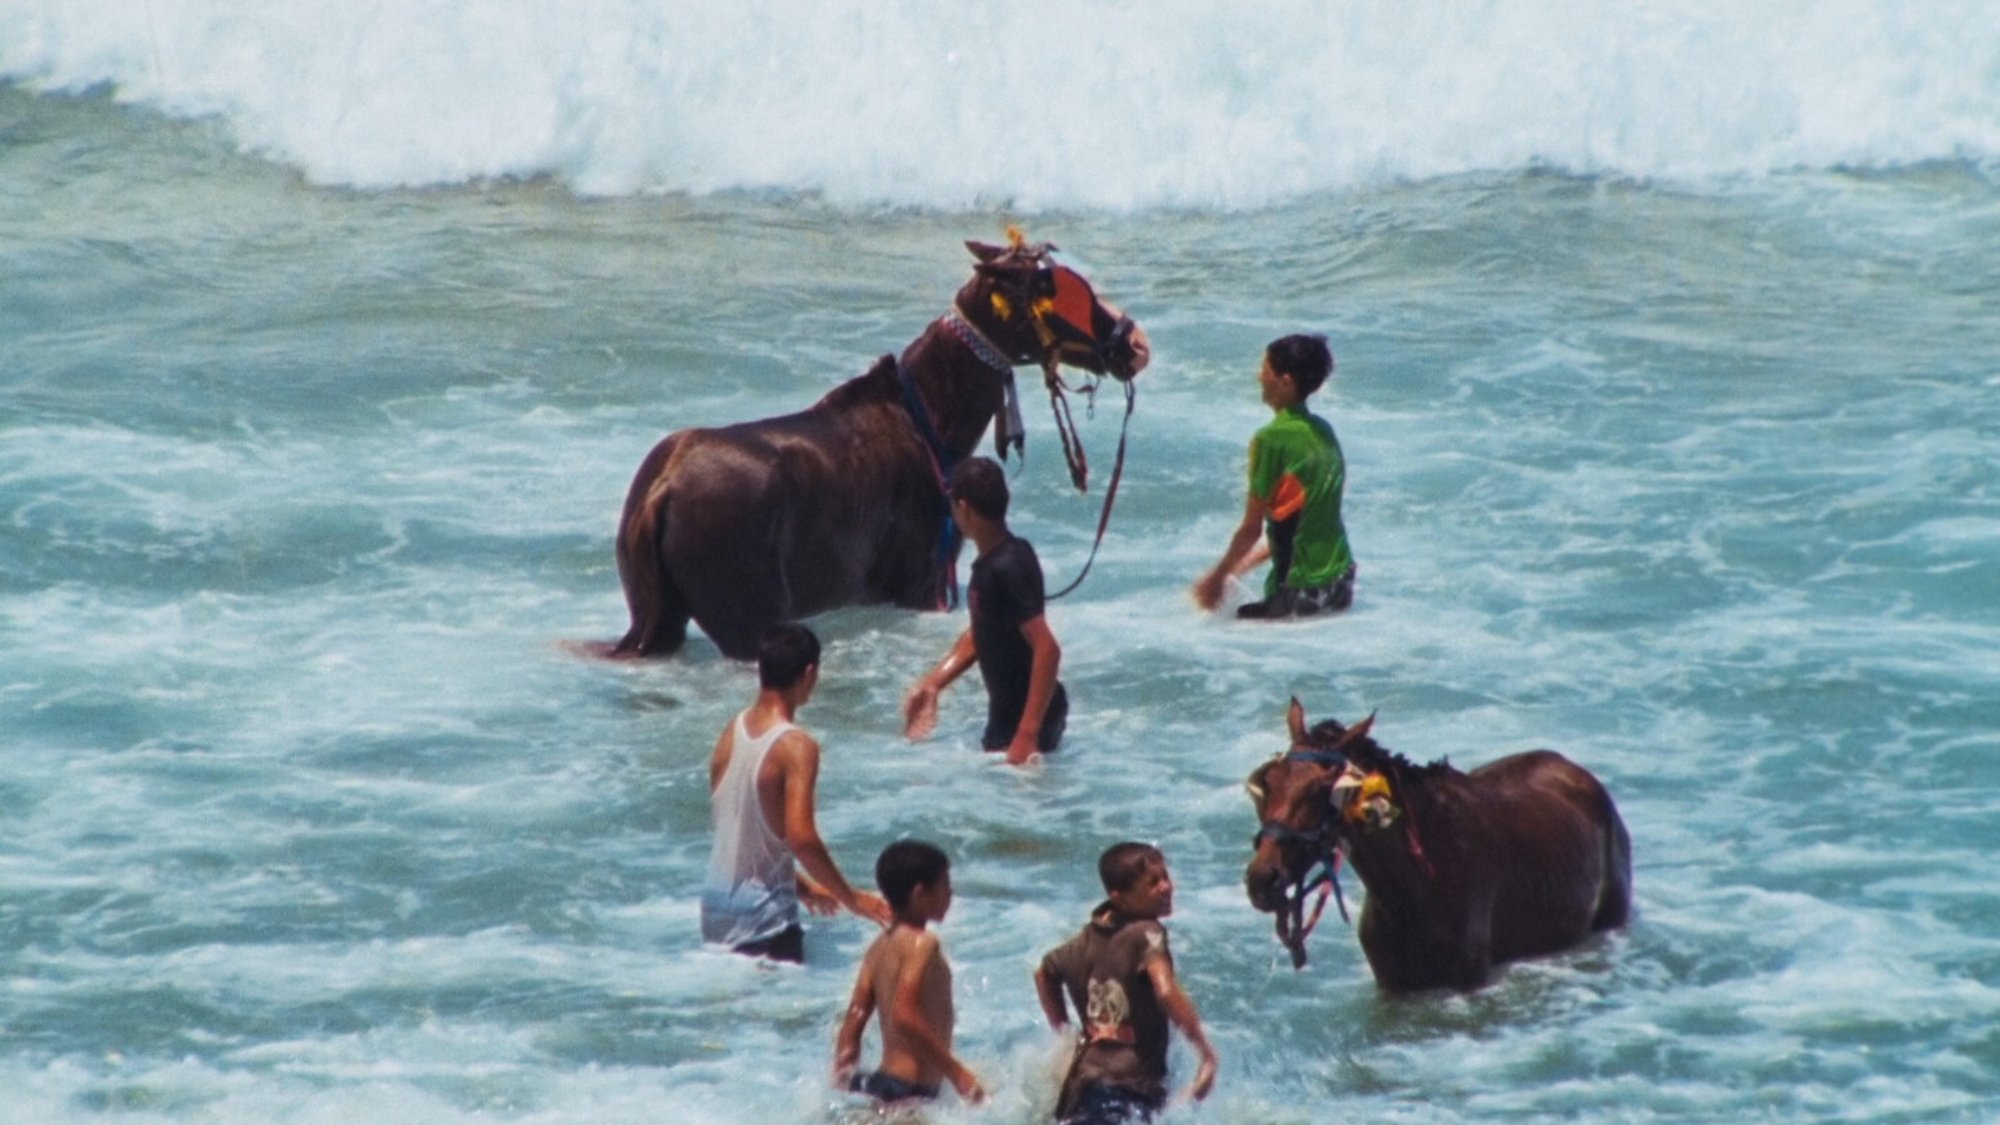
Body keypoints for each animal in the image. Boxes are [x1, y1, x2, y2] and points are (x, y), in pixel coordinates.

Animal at [610, 236, 1149, 659]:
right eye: (1052, 289)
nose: (1136, 345)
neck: (933, 418)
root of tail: (660, 493)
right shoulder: (919, 583)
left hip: (658, 618)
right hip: (745, 616)